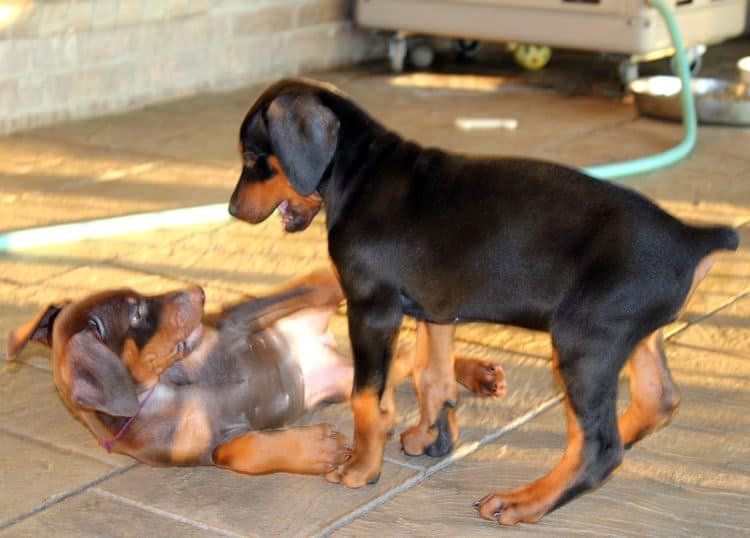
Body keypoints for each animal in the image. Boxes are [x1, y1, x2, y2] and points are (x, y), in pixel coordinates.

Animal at [5, 266, 506, 474]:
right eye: (136, 313)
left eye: (139, 300)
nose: (199, 292)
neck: (166, 388)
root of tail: (324, 346)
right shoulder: (202, 452)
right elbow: (237, 453)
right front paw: (317, 450)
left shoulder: (236, 320)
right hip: (348, 379)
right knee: (409, 363)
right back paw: (469, 373)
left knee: (331, 283)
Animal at [229, 77, 740, 520]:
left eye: (254, 156)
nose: (232, 210)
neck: (360, 173)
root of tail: (690, 238)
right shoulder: (435, 309)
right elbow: (430, 374)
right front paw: (431, 435)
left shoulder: (372, 309)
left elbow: (367, 398)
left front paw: (361, 466)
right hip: (631, 334)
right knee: (656, 401)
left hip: (583, 340)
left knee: (599, 447)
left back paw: (524, 501)